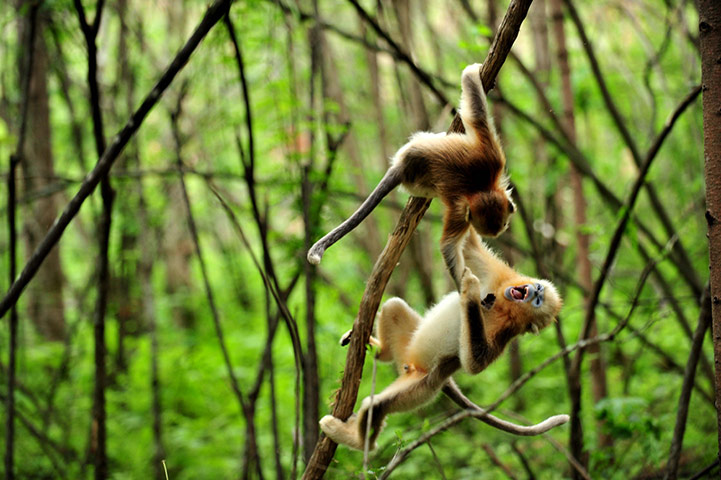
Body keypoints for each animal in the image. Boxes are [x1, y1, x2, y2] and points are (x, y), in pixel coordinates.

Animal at [307, 63, 515, 288]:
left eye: (504, 225)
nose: (502, 229)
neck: (481, 187)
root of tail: (402, 166)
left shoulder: (491, 157)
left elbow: (478, 116)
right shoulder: (464, 206)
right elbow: (449, 246)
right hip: (417, 173)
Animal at [319, 230, 561, 450]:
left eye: (539, 301)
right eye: (539, 291)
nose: (535, 292)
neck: (503, 307)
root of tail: (410, 366)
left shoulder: (504, 332)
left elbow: (474, 365)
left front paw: (471, 292)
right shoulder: (499, 275)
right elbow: (469, 245)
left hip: (423, 386)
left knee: (376, 406)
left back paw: (357, 442)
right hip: (408, 350)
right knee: (393, 307)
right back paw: (379, 350)